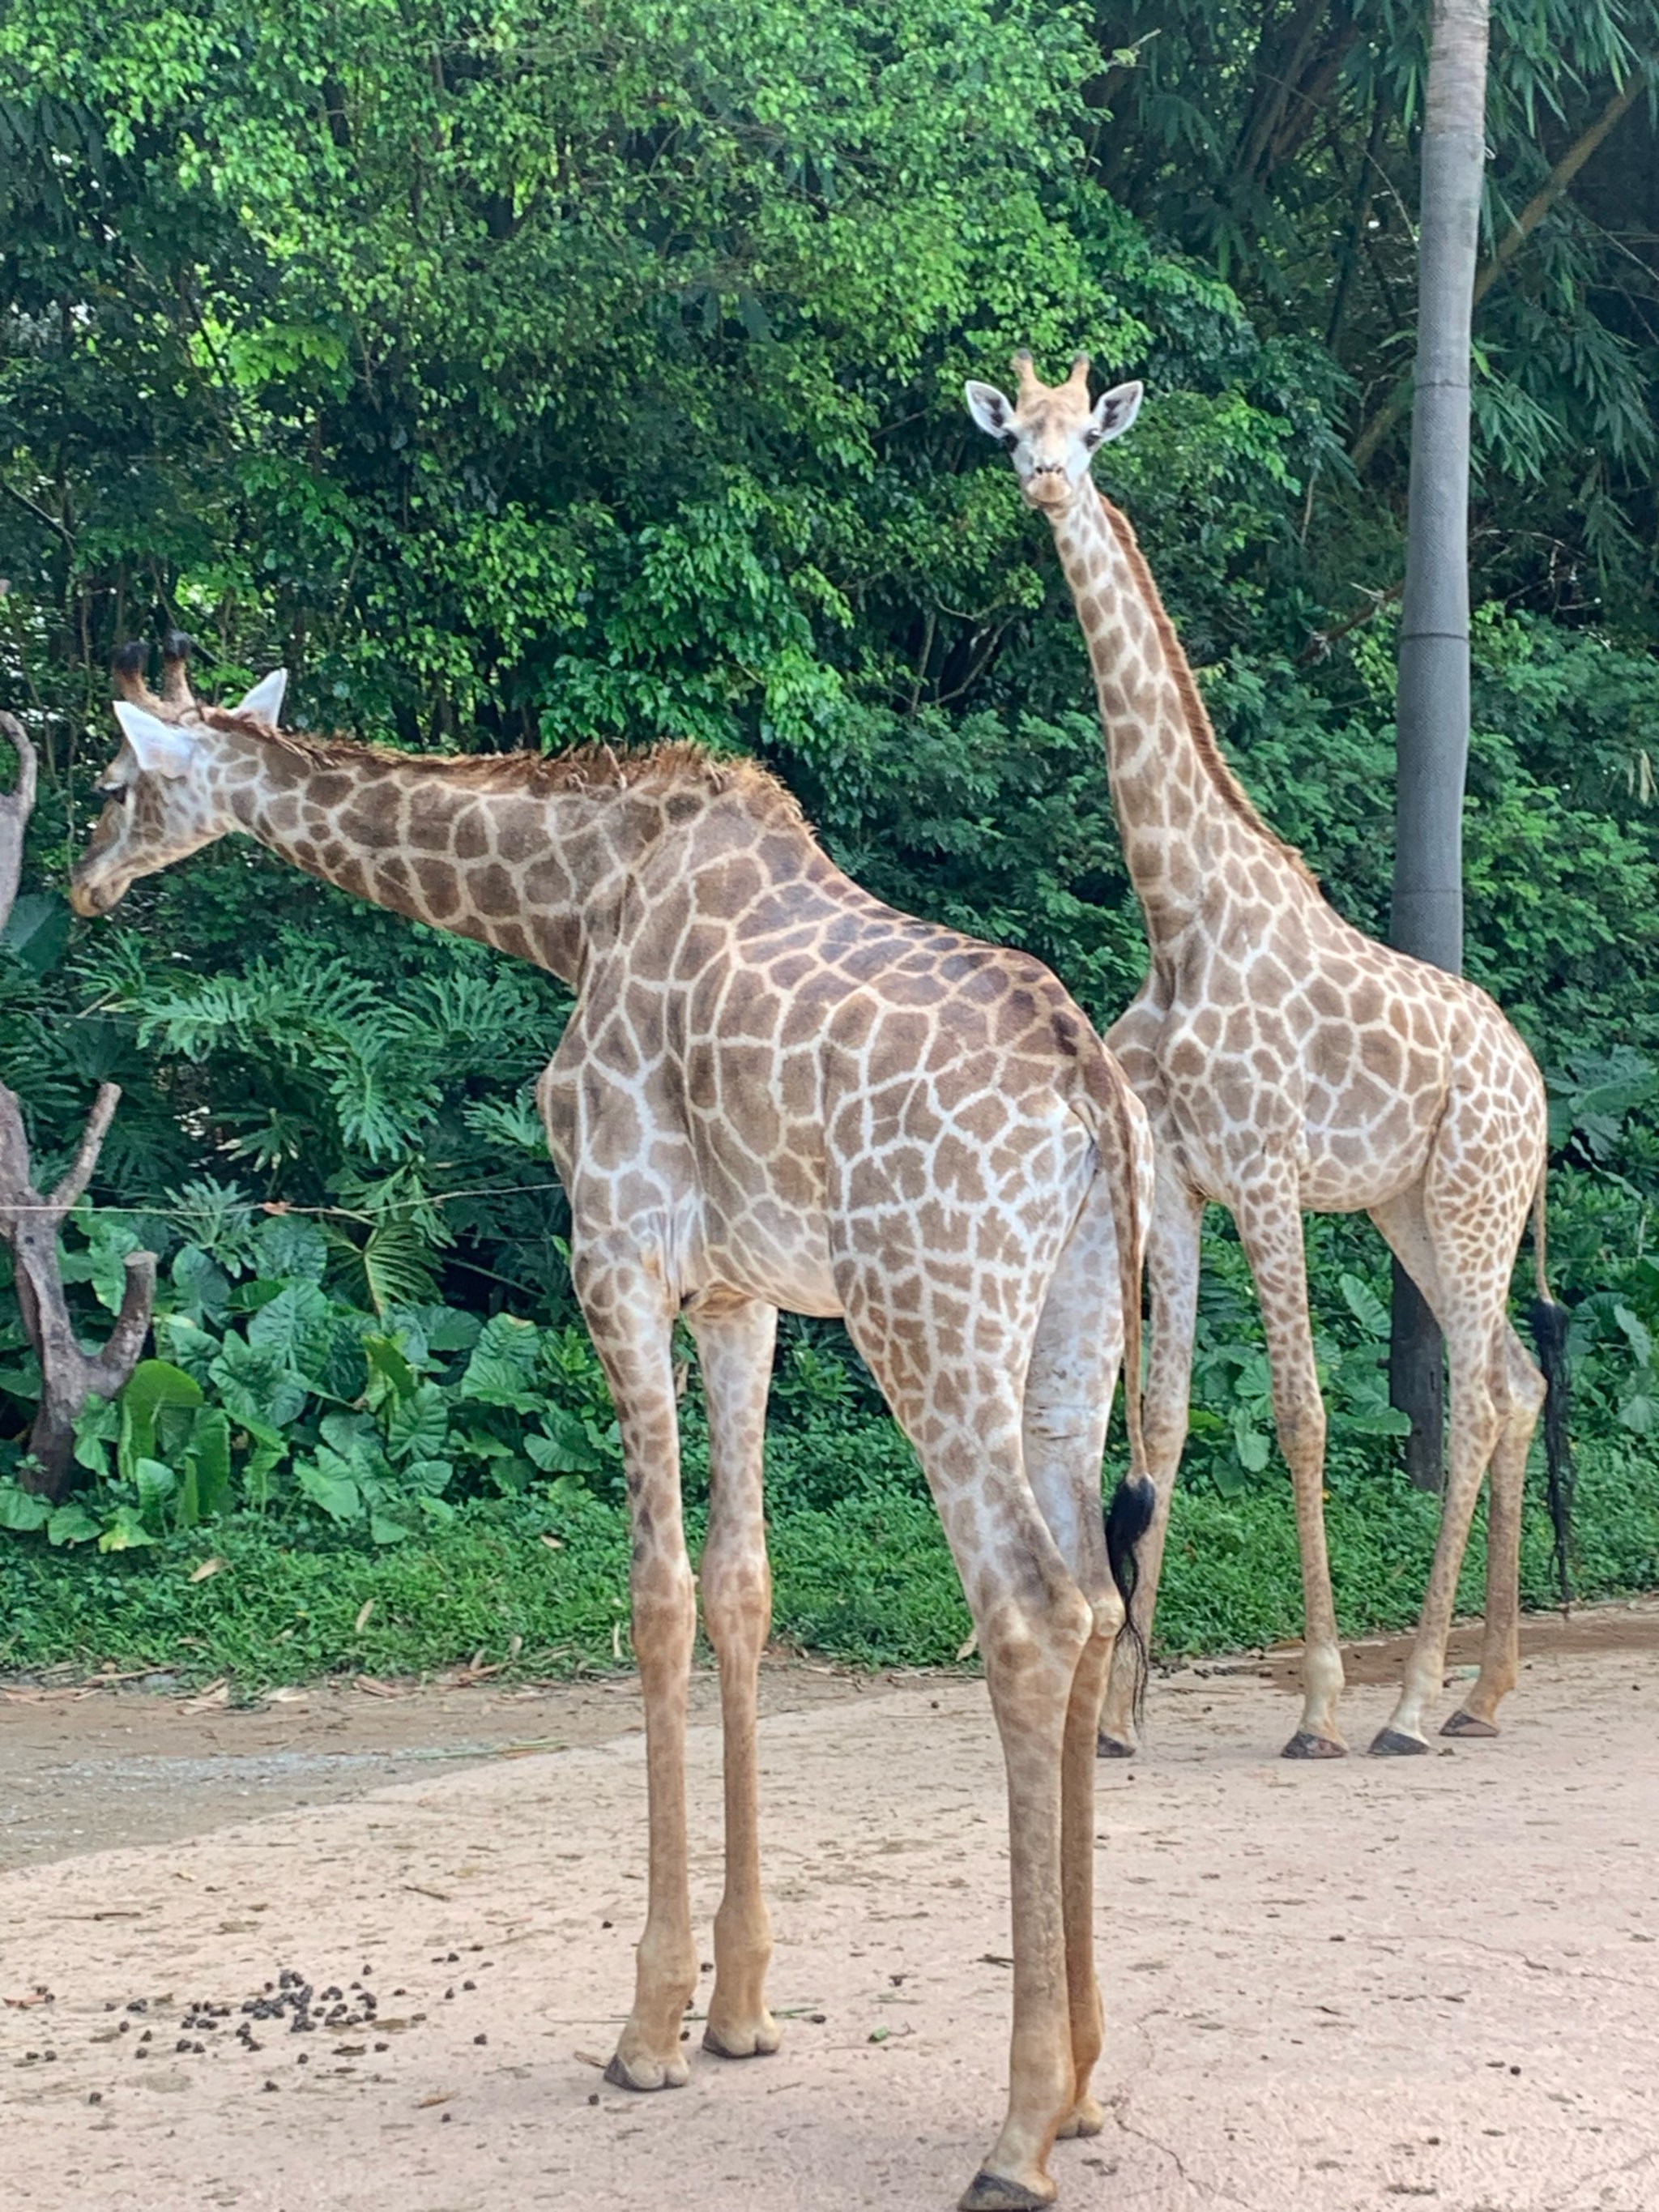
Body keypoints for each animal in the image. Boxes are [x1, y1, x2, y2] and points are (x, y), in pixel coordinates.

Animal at [75, 632, 1158, 2203]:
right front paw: (742, 2009)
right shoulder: (741, 1295)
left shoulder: (616, 1253)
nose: (82, 884)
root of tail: (1092, 1096)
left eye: (106, 783)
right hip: (1071, 1331)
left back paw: (1015, 2131)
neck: (575, 905)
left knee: (1029, 1611)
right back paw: (1078, 2085)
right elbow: (744, 1587)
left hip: (930, 1315)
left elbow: (655, 1597)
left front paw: (648, 2029)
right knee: (1094, 1595)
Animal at [969, 349, 1566, 1761]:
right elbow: (1165, 1417)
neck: (1179, 917)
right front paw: (1117, 1723)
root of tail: (1536, 1083)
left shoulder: (1269, 1174)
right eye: (1015, 431)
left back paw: (1407, 1705)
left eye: (1090, 435)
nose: (1045, 483)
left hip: (1468, 1199)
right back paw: (1481, 1691)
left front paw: (1319, 1704)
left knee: (1476, 1396)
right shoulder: (1183, 1189)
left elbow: (1300, 1414)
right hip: (1416, 1206)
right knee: (1515, 1381)